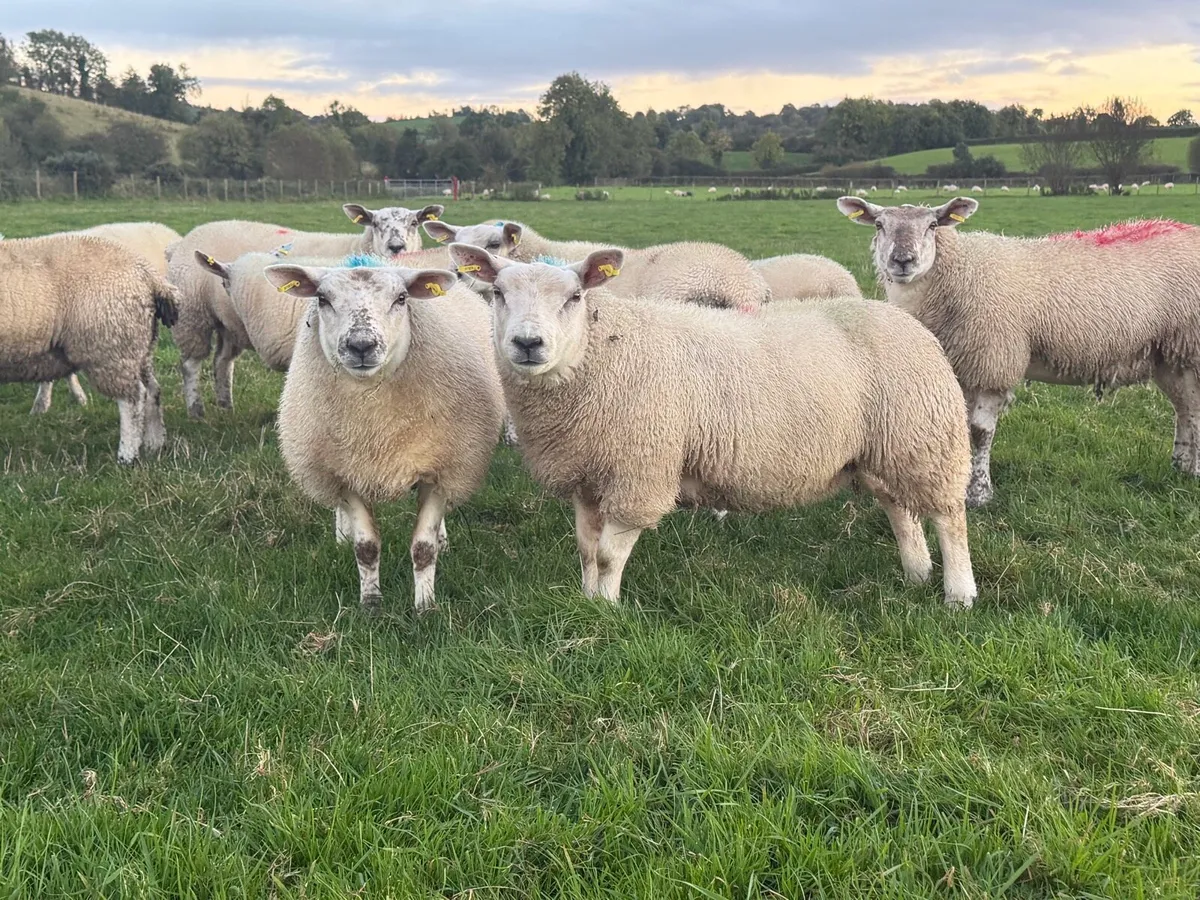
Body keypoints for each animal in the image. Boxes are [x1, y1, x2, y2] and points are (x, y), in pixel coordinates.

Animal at [170, 204, 443, 418]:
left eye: (414, 223)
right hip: (192, 316)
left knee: (222, 361)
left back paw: (225, 406)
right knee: (191, 364)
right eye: (375, 224)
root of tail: (188, 237)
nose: (397, 247)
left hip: (227, 324)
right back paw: (196, 411)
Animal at [260, 260, 504, 613]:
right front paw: (371, 604)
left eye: (401, 298)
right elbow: (366, 548)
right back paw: (342, 535)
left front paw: (425, 607)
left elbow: (423, 548)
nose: (361, 345)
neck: (374, 426)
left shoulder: (441, 468)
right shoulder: (346, 474)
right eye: (322, 298)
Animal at [446, 243, 979, 608]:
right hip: (884, 447)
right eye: (498, 293)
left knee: (948, 516)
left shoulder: (640, 472)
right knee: (900, 509)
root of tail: (906, 321)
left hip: (926, 438)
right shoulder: (589, 476)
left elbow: (608, 555)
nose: (527, 344)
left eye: (575, 296)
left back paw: (959, 593)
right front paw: (587, 599)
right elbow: (585, 550)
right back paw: (915, 573)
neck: (598, 354)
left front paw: (607, 610)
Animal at [838, 195, 1200, 505]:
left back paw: (1193, 471)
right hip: (1170, 356)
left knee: (1193, 410)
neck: (955, 275)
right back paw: (1180, 464)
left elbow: (979, 432)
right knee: (1185, 407)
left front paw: (979, 494)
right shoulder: (964, 368)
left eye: (932, 225)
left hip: (1191, 348)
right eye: (879, 225)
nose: (902, 261)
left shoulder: (993, 361)